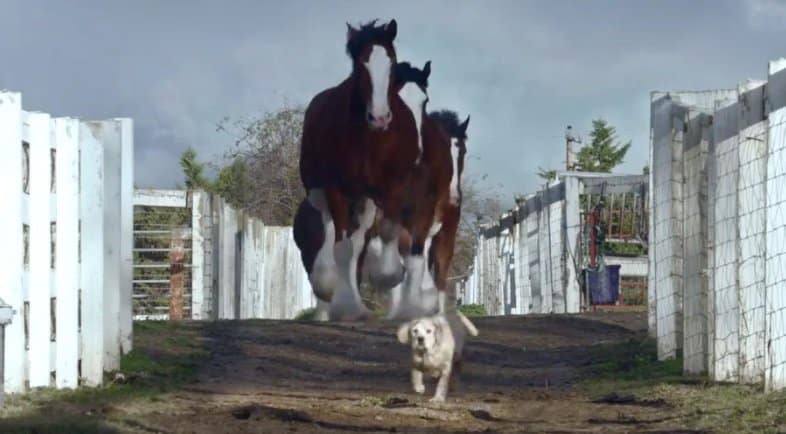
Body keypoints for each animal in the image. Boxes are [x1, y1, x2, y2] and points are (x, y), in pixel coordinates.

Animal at [295, 19, 422, 321]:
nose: (379, 117)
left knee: (359, 240)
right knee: (333, 234)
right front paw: (347, 305)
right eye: (360, 65)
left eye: (391, 61)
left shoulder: (391, 187)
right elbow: (342, 247)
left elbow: (386, 232)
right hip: (322, 193)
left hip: (365, 201)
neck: (370, 139)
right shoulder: (336, 188)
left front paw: (388, 275)